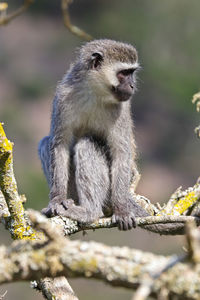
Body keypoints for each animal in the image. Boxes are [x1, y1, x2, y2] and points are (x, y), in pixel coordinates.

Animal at [38, 39, 148, 230]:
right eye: (124, 73)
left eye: (131, 73)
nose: (132, 86)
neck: (95, 93)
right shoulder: (63, 96)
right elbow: (60, 144)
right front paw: (57, 200)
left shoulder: (121, 109)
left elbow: (121, 153)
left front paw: (122, 210)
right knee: (47, 143)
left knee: (87, 143)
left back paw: (91, 212)